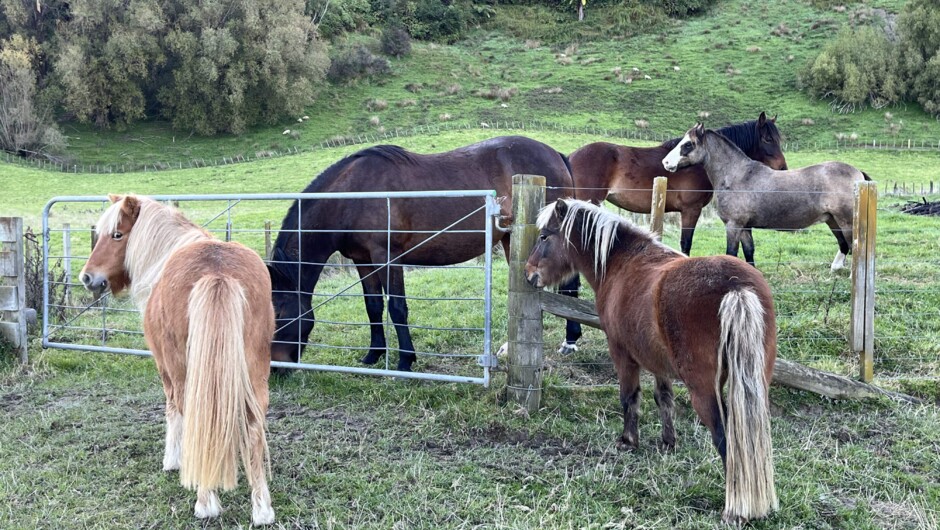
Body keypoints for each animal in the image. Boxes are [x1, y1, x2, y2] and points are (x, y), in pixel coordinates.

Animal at [80, 195, 275, 526]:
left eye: (116, 234)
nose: (87, 277)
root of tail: (217, 273)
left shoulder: (165, 366)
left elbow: (173, 411)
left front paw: (173, 460)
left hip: (186, 373)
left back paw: (206, 502)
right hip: (255, 374)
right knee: (252, 428)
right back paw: (262, 509)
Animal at [268, 135, 582, 371]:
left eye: (280, 311)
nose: (276, 368)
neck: (351, 196)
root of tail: (556, 155)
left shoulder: (387, 256)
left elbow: (397, 307)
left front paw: (405, 360)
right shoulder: (362, 261)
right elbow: (373, 306)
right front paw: (373, 354)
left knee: (569, 287)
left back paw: (570, 341)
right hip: (510, 239)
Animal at [525, 198, 778, 524]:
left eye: (544, 236)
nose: (529, 273)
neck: (622, 261)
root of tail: (737, 288)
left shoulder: (622, 353)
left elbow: (629, 397)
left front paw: (628, 440)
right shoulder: (659, 363)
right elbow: (664, 398)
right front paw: (668, 441)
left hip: (705, 391)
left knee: (726, 439)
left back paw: (733, 509)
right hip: (754, 385)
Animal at [569, 112, 787, 255]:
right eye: (768, 139)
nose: (783, 168)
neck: (699, 163)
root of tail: (571, 156)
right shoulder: (691, 210)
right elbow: (686, 244)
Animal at [662, 123, 871, 270]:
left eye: (688, 144)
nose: (666, 162)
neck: (737, 175)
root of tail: (858, 174)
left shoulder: (733, 225)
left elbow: (731, 253)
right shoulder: (745, 227)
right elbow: (749, 253)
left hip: (846, 221)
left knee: (854, 247)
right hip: (832, 220)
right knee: (844, 245)